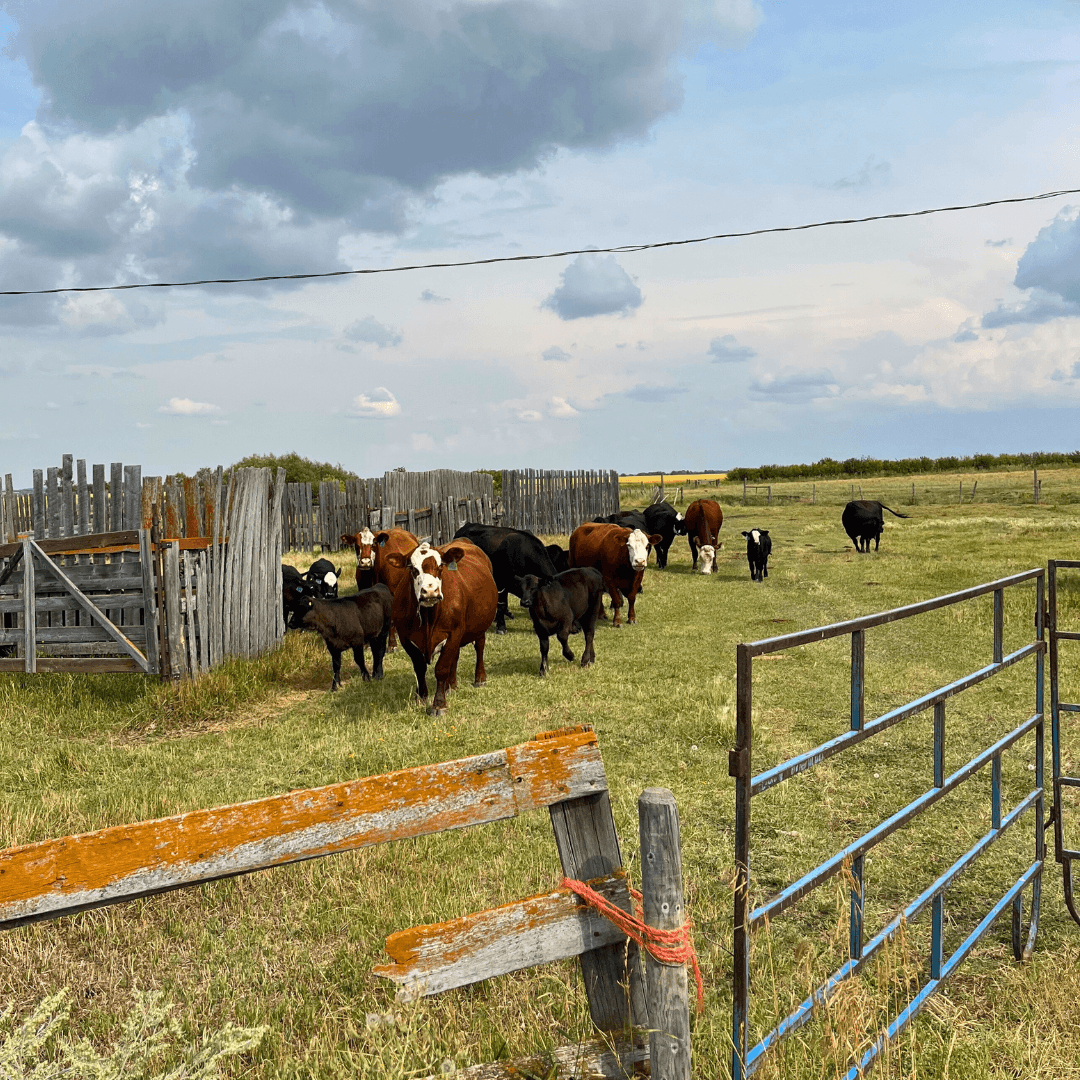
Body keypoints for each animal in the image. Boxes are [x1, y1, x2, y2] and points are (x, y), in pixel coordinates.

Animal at [384, 535, 496, 712]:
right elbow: (420, 667)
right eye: (412, 568)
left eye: (440, 566)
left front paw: (439, 704)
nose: (430, 591)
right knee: (455, 657)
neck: (428, 619)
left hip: (479, 626)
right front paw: (421, 697)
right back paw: (452, 686)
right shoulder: (405, 637)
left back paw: (480, 679)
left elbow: (441, 668)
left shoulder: (454, 633)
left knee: (479, 647)